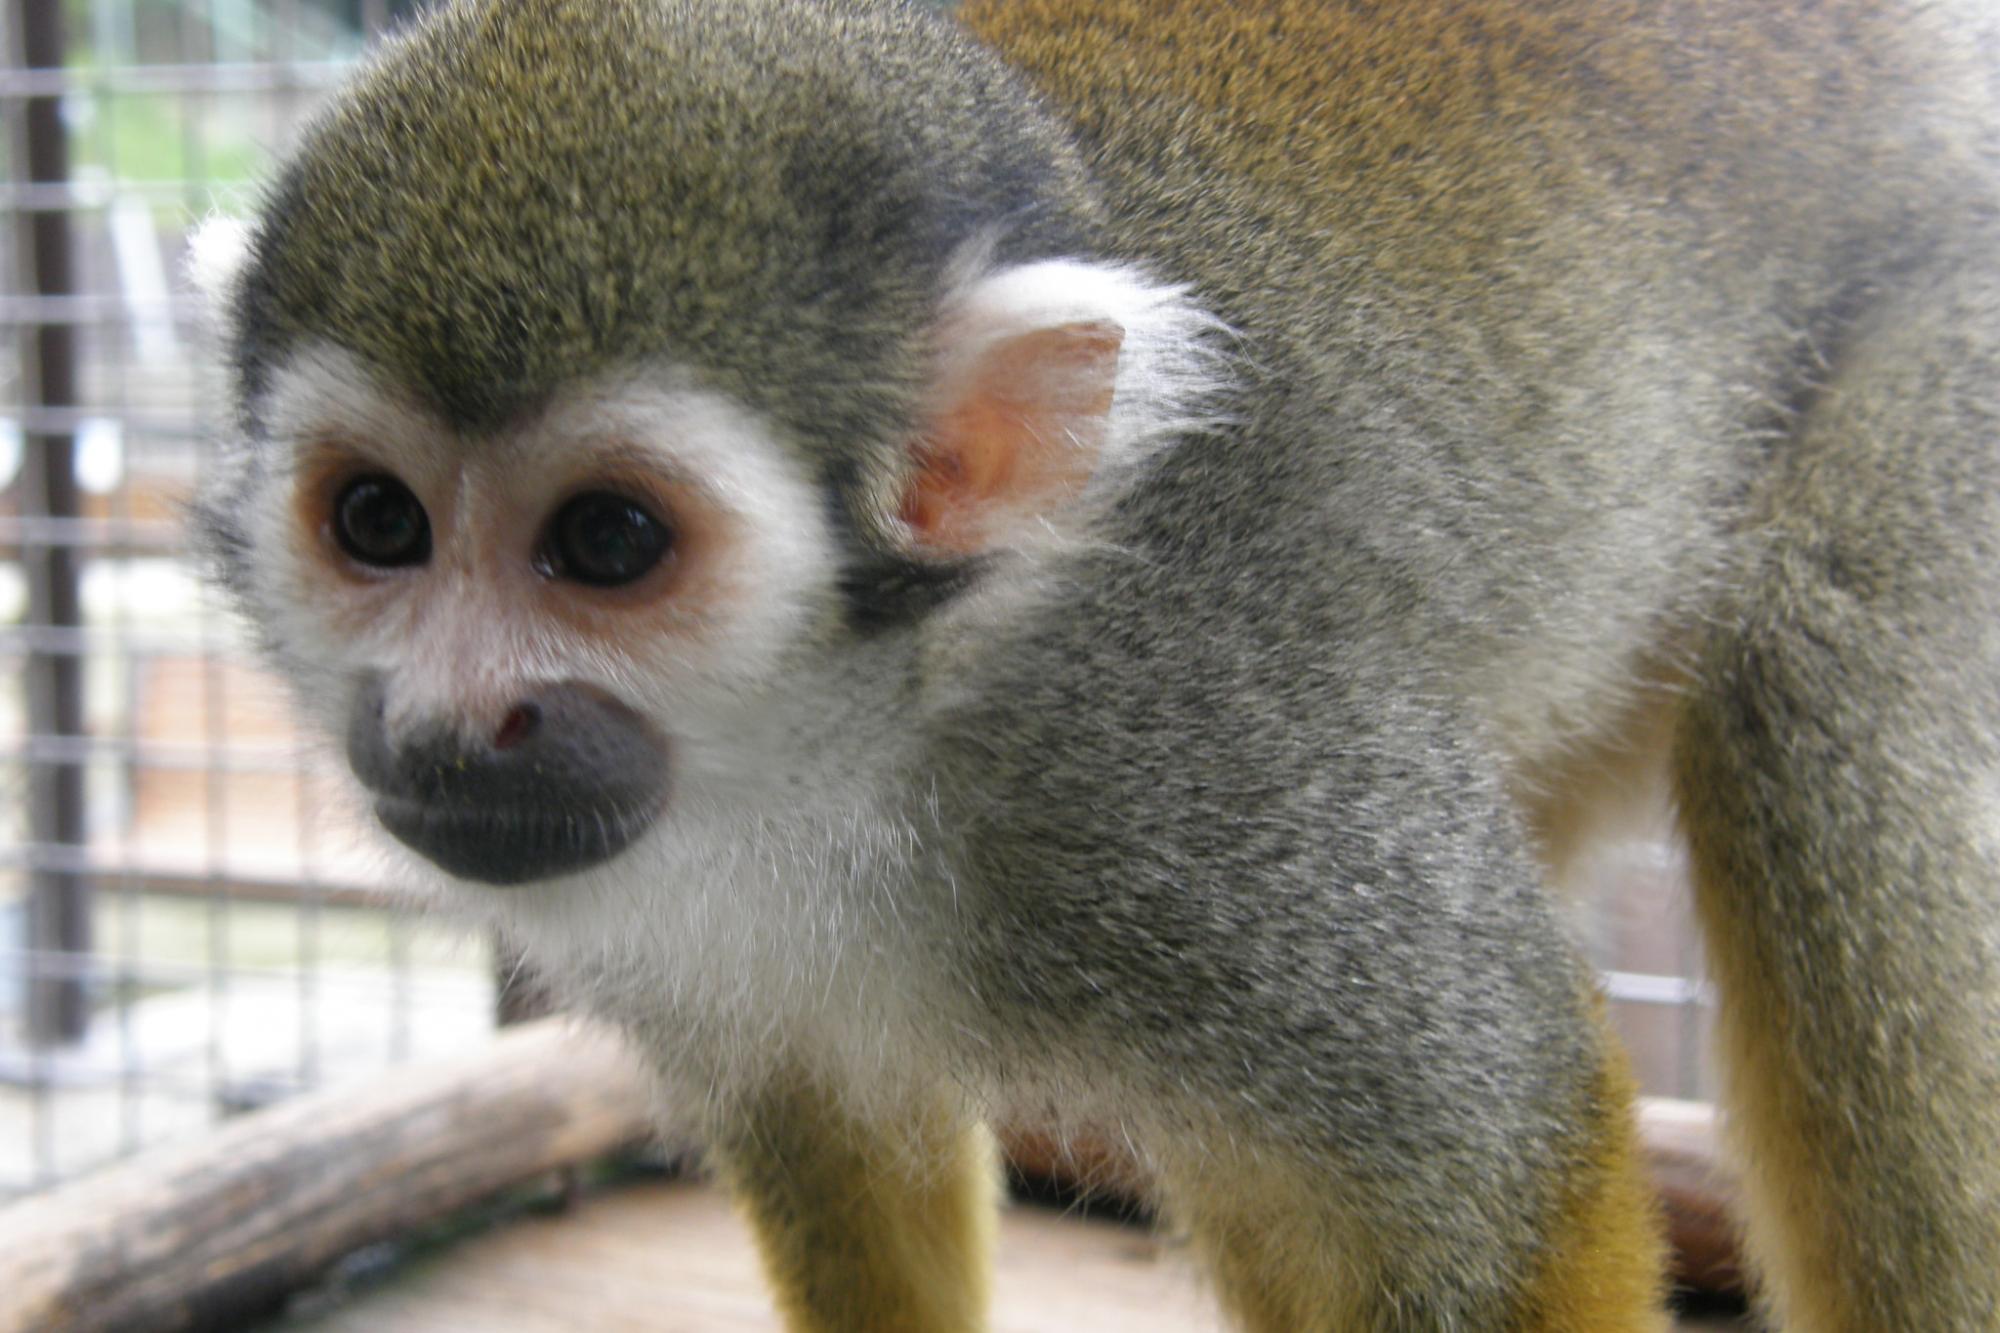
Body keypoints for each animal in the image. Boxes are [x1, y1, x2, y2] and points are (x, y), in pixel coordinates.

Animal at [195, 0, 2000, 1320]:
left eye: (608, 542)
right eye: (376, 520)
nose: (450, 721)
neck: (869, 732)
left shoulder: (1199, 767)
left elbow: (1506, 1153)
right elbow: (834, 1137)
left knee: (1812, 674)